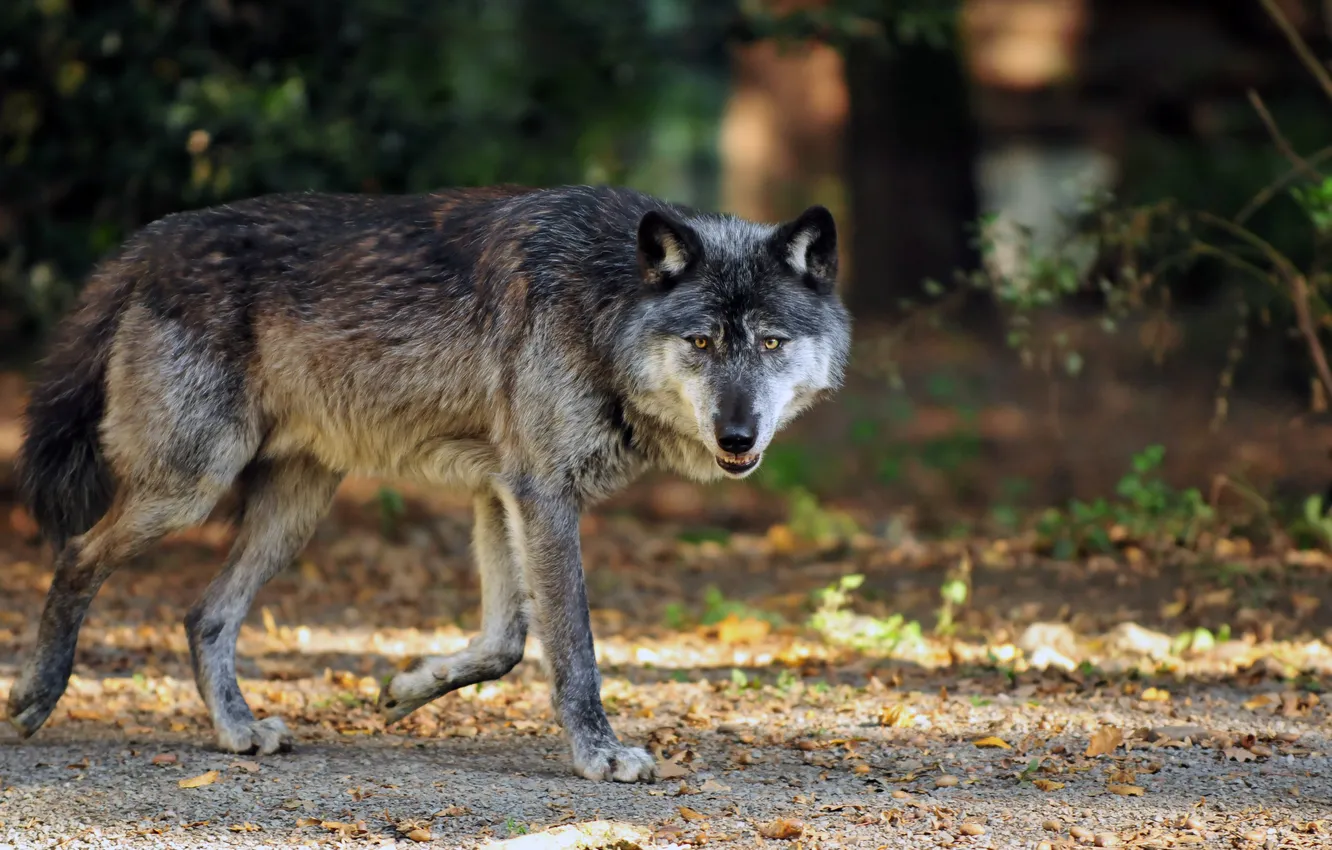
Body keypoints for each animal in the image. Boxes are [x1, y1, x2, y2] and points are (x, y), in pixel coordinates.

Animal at [7, 184, 851, 782]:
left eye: (770, 343)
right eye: (701, 343)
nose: (737, 437)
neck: (604, 302)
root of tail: (148, 241)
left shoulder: (502, 493)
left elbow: (506, 644)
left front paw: (407, 687)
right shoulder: (543, 495)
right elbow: (572, 647)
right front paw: (599, 755)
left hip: (293, 511)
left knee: (203, 614)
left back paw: (239, 730)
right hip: (190, 486)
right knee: (77, 555)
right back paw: (33, 701)